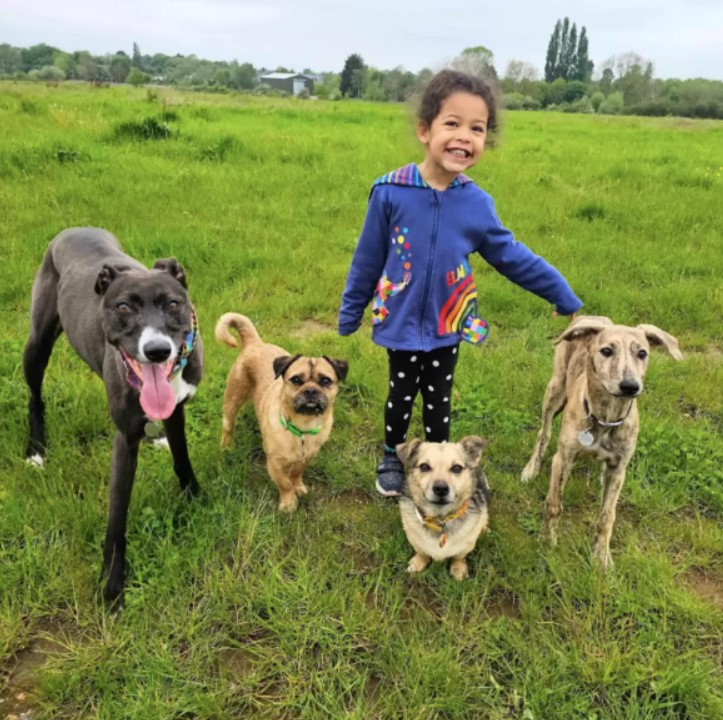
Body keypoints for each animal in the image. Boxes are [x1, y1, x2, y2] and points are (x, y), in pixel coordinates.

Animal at [215, 314, 348, 512]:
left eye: (325, 381)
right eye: (296, 380)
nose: (310, 390)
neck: (302, 427)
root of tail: (254, 343)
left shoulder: (306, 458)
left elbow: (296, 473)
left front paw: (298, 486)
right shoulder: (274, 464)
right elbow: (284, 483)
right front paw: (288, 502)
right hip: (233, 400)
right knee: (228, 426)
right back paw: (226, 446)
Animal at [396, 436, 492, 584]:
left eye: (457, 468)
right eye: (424, 466)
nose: (441, 488)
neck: (440, 519)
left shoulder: (466, 546)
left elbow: (458, 557)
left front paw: (458, 569)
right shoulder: (415, 541)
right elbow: (421, 553)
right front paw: (418, 563)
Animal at [520, 316, 684, 568]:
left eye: (642, 353)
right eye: (606, 351)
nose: (630, 387)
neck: (606, 419)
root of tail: (586, 316)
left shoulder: (619, 469)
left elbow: (607, 516)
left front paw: (601, 557)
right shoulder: (563, 459)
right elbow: (554, 503)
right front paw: (548, 540)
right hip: (555, 391)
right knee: (543, 434)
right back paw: (531, 468)